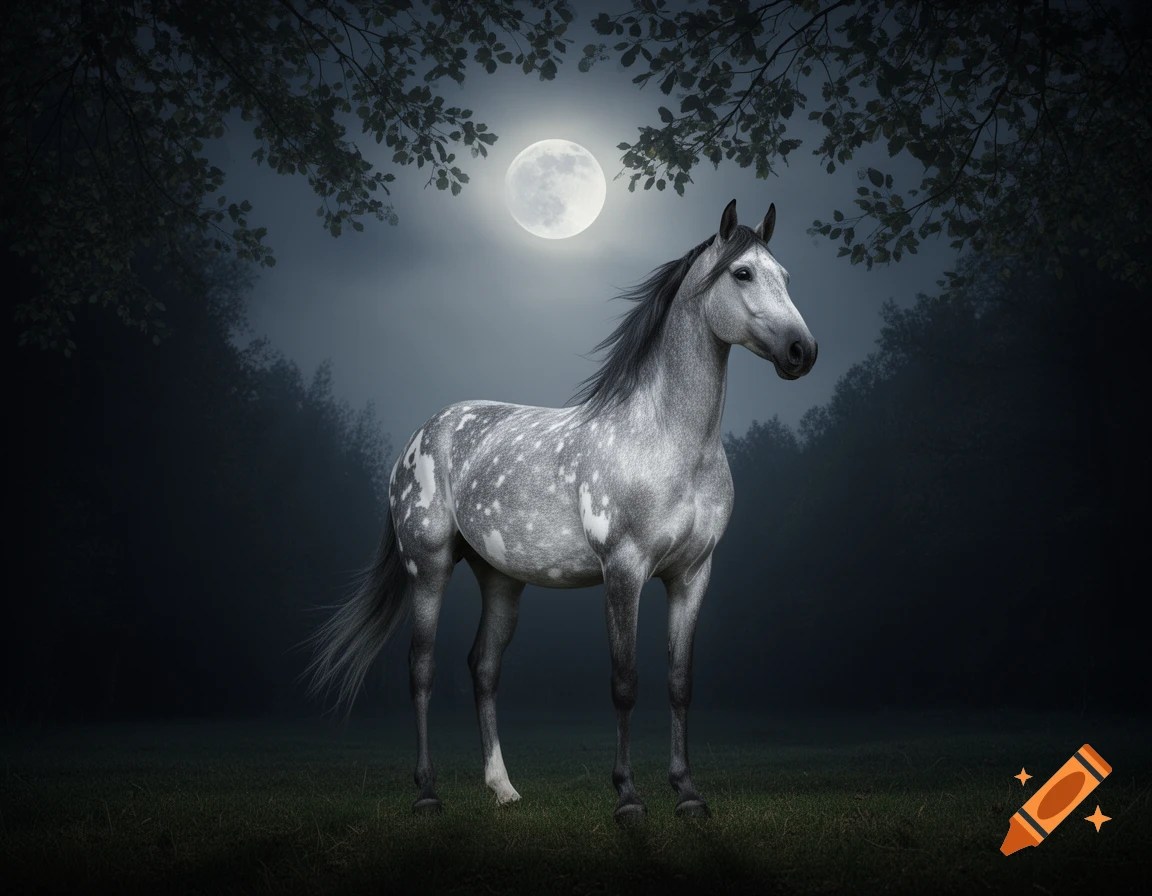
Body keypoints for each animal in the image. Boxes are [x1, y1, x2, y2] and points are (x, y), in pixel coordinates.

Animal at [306, 199, 818, 822]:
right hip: (427, 568)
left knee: (483, 669)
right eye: (742, 274)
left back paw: (502, 788)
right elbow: (625, 682)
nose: (802, 352)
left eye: (784, 276)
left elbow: (680, 683)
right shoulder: (623, 570)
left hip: (500, 579)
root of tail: (422, 434)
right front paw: (628, 799)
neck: (669, 442)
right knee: (421, 669)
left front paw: (688, 794)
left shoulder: (693, 574)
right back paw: (427, 793)